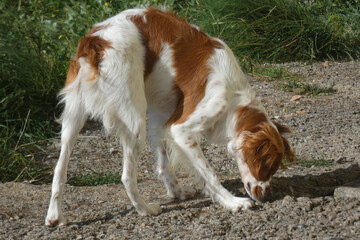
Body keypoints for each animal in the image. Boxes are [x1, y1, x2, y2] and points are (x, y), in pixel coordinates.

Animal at [45, 6, 296, 226]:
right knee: (126, 176)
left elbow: (165, 162)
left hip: (73, 116)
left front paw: (177, 192)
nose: (268, 196)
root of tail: (95, 40)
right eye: (267, 166)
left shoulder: (161, 119)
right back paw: (145, 209)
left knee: (59, 171)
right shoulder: (182, 128)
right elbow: (209, 173)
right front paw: (232, 202)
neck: (236, 97)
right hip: (134, 121)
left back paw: (55, 217)